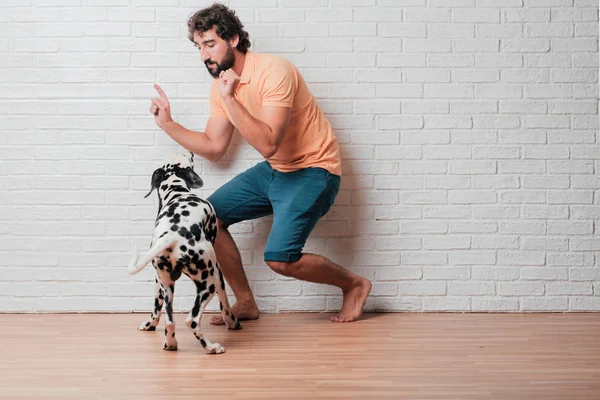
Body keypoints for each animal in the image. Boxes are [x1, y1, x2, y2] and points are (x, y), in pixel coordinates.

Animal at [127, 151, 240, 354]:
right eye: (188, 158)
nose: (191, 152)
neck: (177, 192)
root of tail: (172, 235)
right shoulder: (218, 273)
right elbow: (225, 304)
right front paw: (232, 322)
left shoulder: (158, 281)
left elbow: (156, 309)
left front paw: (149, 325)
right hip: (208, 283)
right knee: (192, 320)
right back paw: (212, 347)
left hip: (168, 285)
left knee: (170, 321)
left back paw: (170, 344)